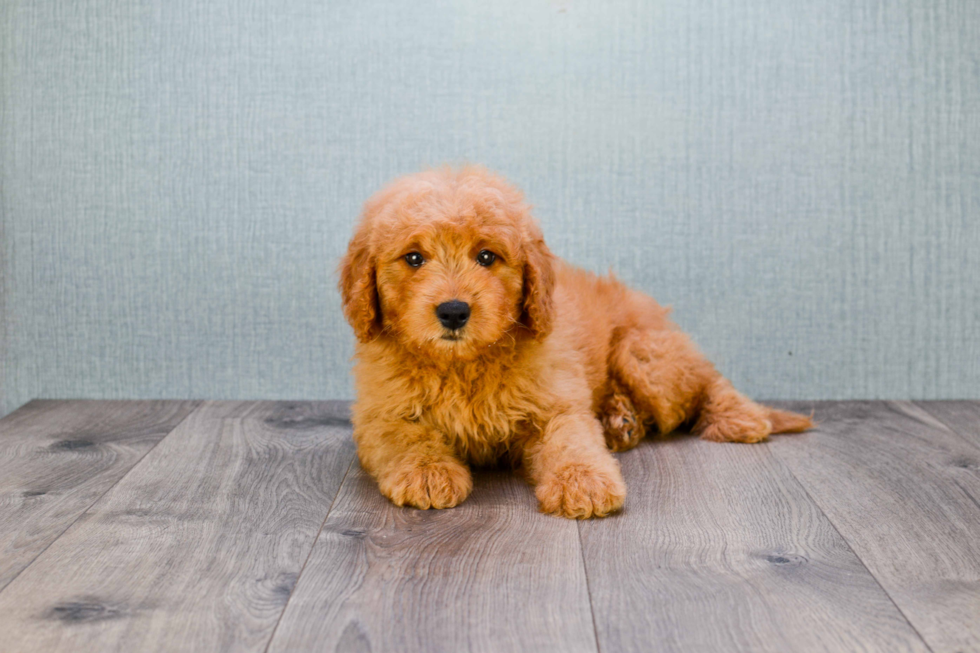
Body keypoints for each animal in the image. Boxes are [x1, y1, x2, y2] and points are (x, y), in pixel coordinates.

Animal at [338, 168, 812, 520]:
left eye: (487, 256)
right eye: (414, 258)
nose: (454, 311)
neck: (462, 363)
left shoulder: (557, 403)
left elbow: (572, 441)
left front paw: (584, 482)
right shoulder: (380, 412)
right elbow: (406, 438)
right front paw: (428, 473)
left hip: (646, 357)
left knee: (705, 381)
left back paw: (737, 418)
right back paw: (622, 421)